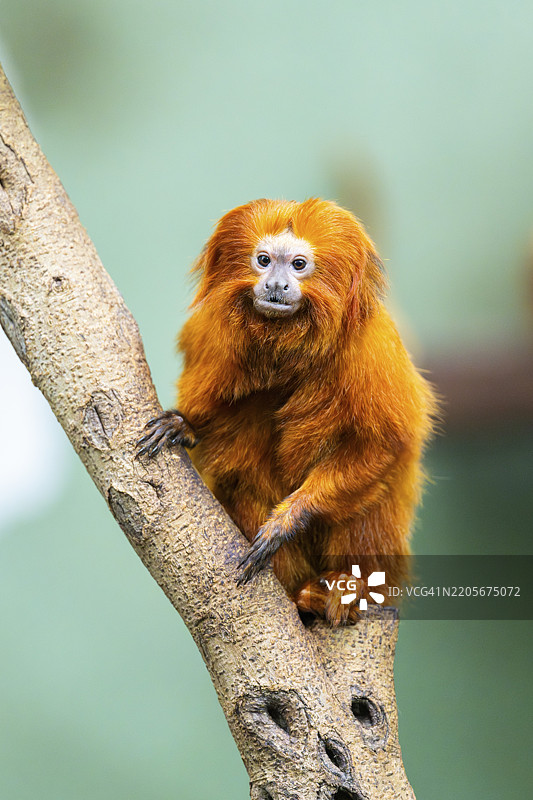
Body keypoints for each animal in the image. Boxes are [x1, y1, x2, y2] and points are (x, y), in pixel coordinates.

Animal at [137, 198, 437, 624]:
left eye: (298, 264)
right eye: (263, 260)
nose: (277, 284)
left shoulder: (371, 349)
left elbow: (383, 444)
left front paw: (289, 519)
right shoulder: (213, 335)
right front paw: (182, 423)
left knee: (369, 502)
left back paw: (346, 587)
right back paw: (300, 596)